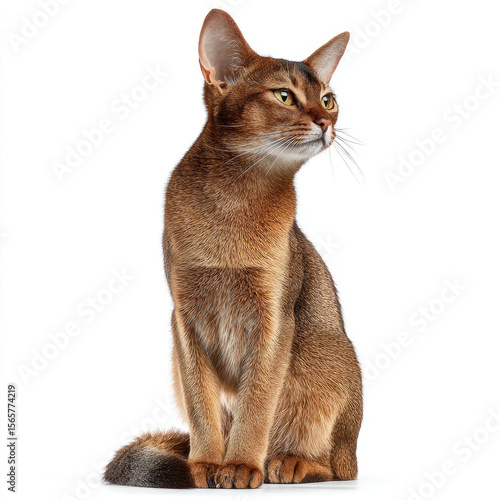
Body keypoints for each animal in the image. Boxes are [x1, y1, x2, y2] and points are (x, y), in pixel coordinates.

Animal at [104, 8, 362, 489]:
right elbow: (202, 404)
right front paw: (205, 464)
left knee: (336, 465)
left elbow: (256, 401)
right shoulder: (184, 317)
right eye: (284, 95)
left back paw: (288, 462)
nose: (327, 123)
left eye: (329, 99)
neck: (234, 200)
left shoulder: (275, 316)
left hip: (329, 361)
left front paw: (241, 464)